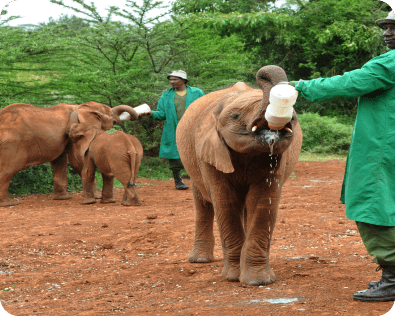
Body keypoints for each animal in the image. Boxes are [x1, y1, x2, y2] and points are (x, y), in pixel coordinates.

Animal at [0, 100, 138, 206]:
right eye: (110, 113)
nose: (134, 118)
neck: (80, 106)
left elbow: (59, 162)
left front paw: (62, 198)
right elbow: (76, 161)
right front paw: (96, 197)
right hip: (12, 145)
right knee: (8, 169)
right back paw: (9, 204)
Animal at [176, 65, 304, 286]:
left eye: (293, 120)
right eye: (235, 116)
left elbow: (263, 203)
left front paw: (258, 281)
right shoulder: (209, 151)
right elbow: (225, 203)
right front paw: (234, 278)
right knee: (202, 202)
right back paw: (199, 260)